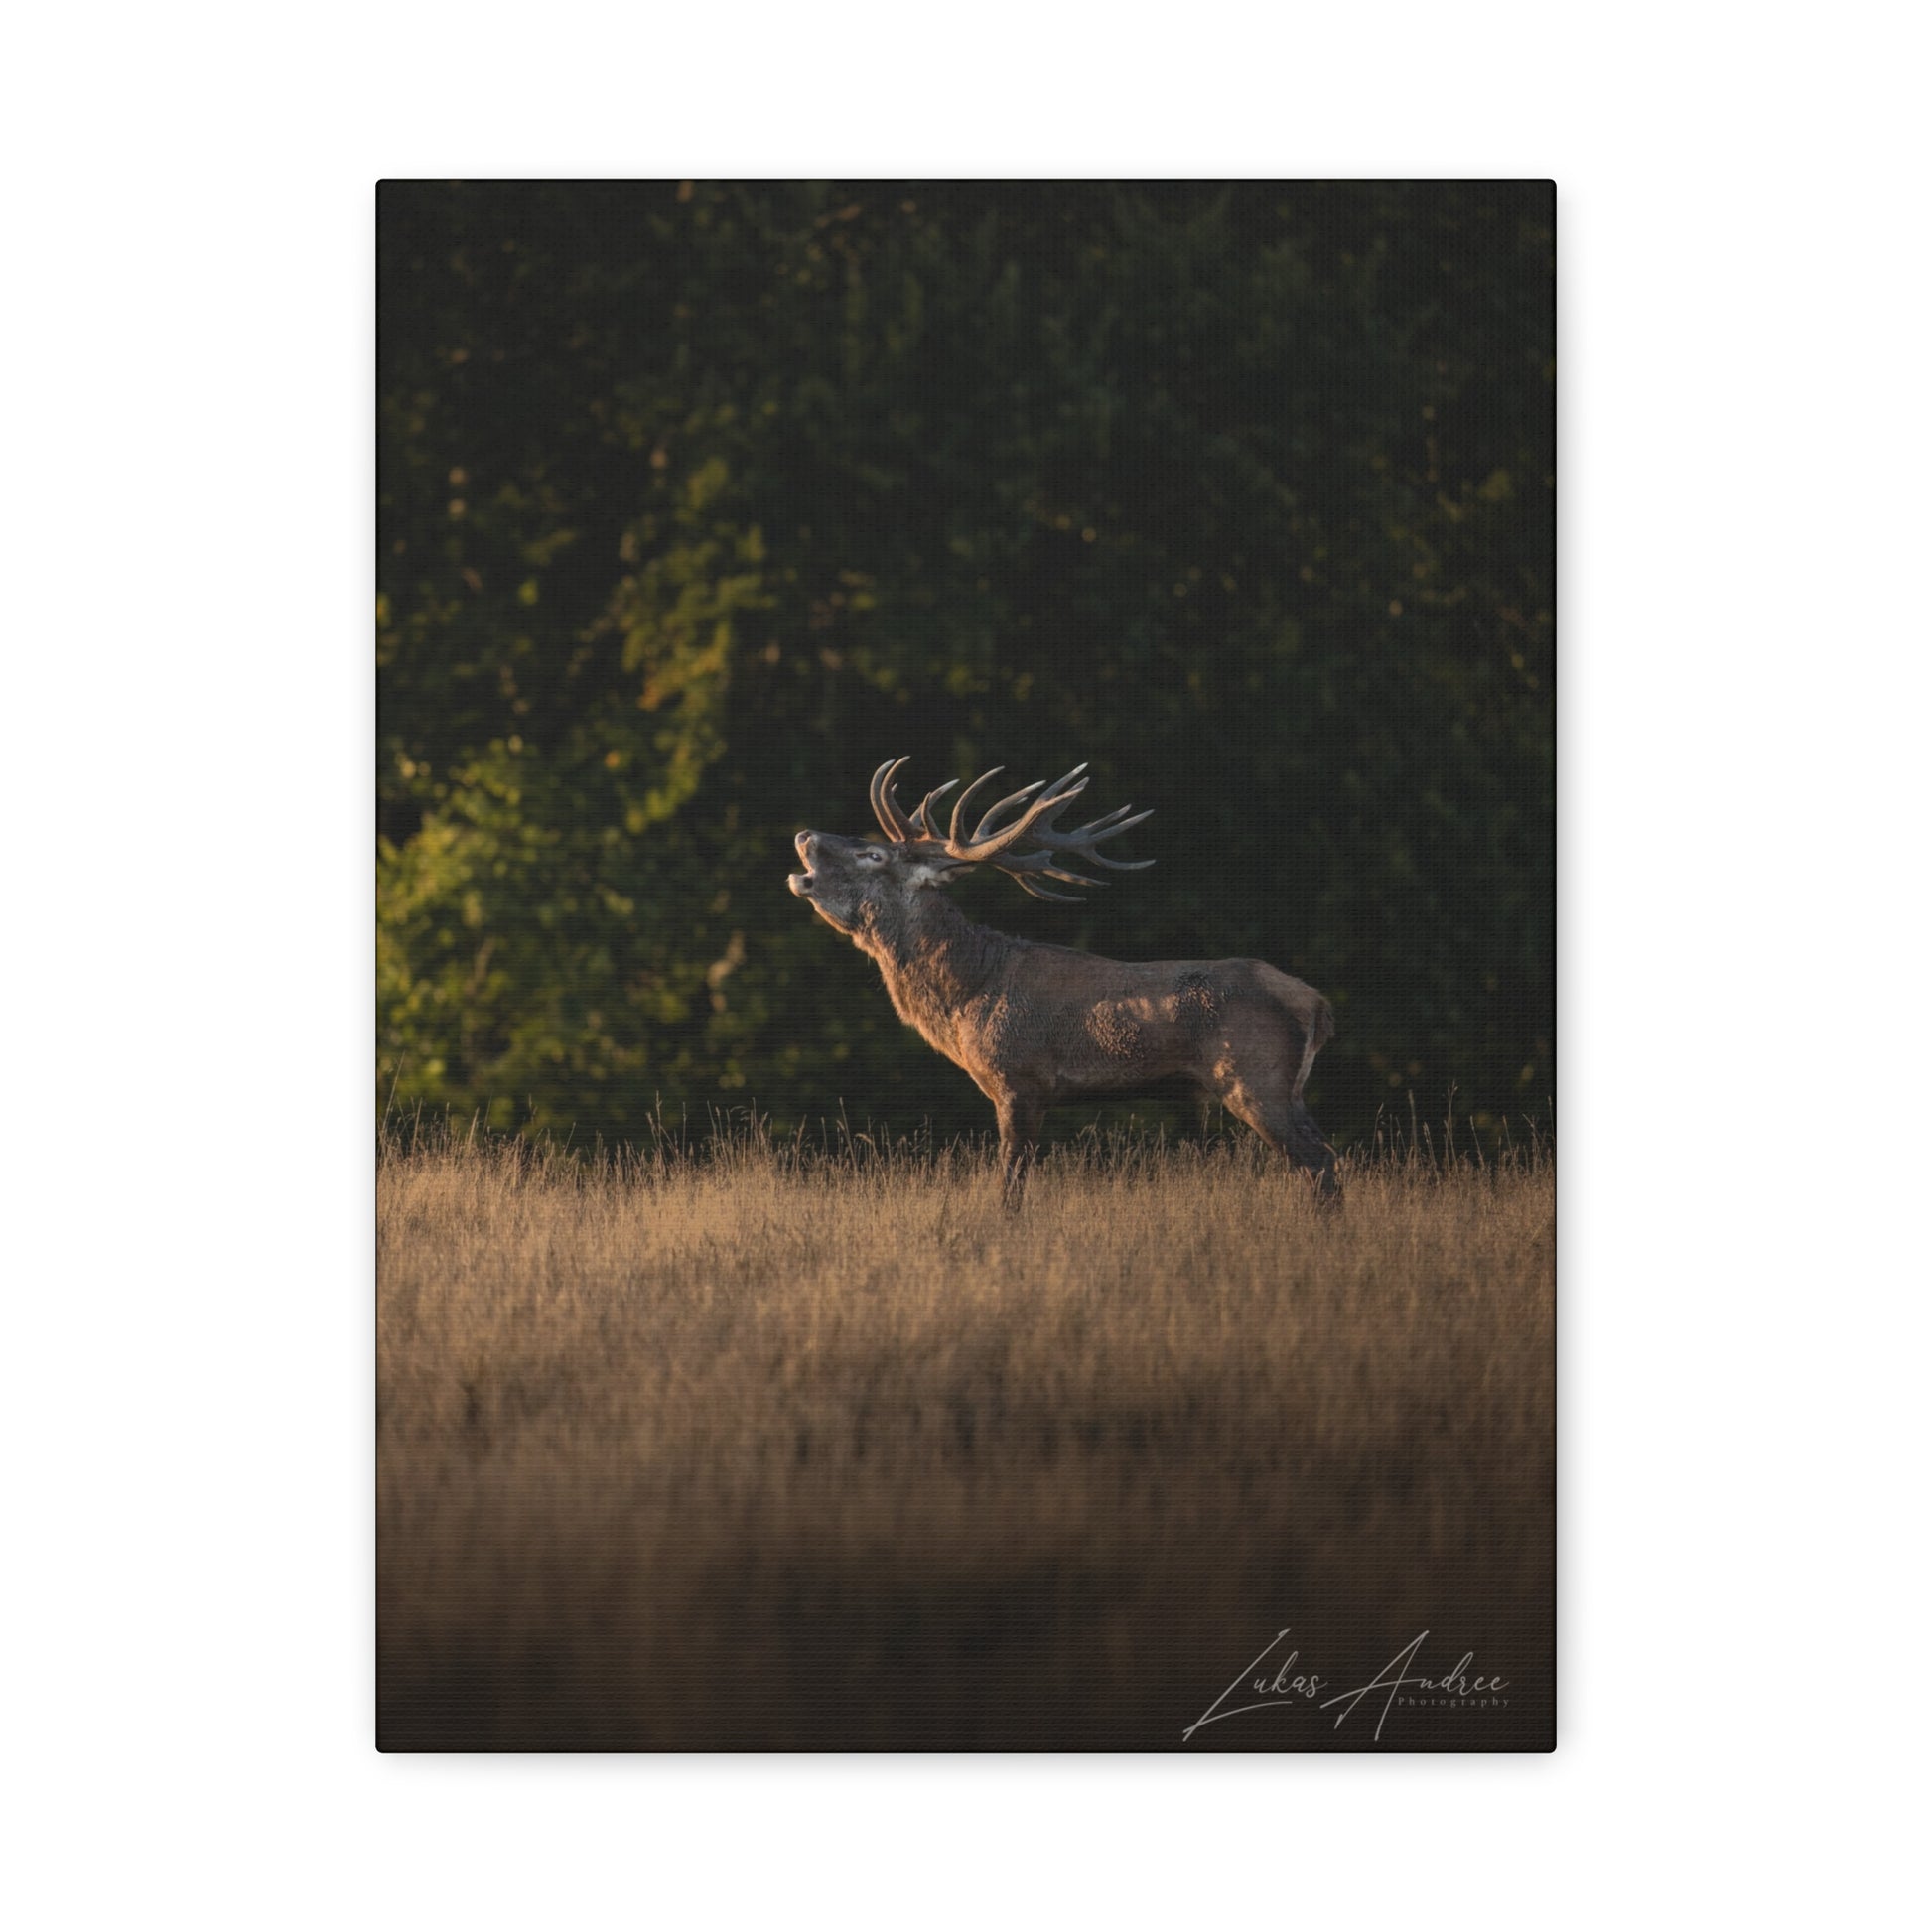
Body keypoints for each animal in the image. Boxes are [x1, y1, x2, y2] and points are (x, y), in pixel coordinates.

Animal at [787, 757, 1341, 1206]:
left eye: (874, 856)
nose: (805, 835)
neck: (968, 993)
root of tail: (1316, 1004)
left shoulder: (1020, 1079)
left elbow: (1011, 1186)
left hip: (1255, 1078)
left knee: (1319, 1163)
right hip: (1287, 1087)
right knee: (1327, 1157)